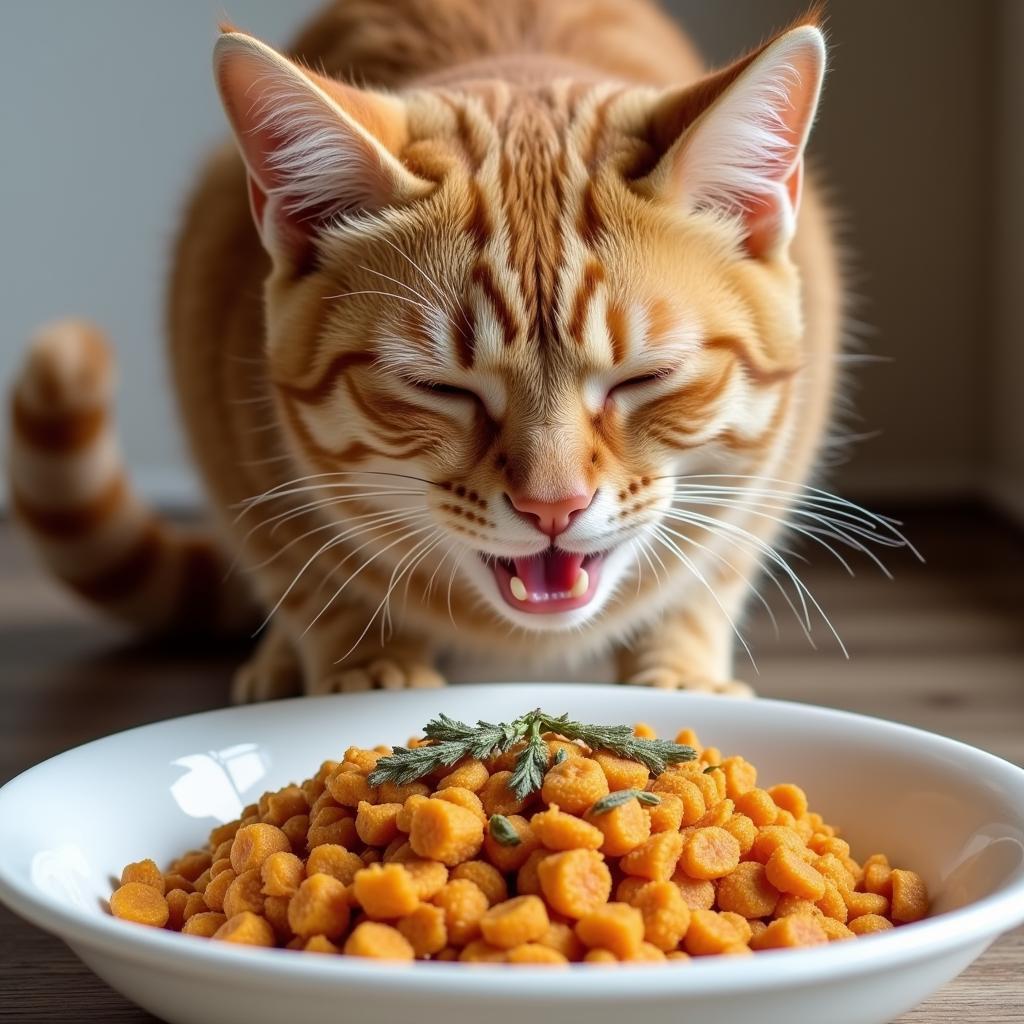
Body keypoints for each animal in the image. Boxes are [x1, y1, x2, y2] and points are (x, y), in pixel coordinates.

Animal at [14, 0, 864, 700]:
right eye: (439, 387)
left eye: (645, 378)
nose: (553, 507)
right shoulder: (230, 428)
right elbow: (309, 580)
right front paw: (369, 670)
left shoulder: (772, 474)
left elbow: (703, 580)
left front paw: (680, 677)